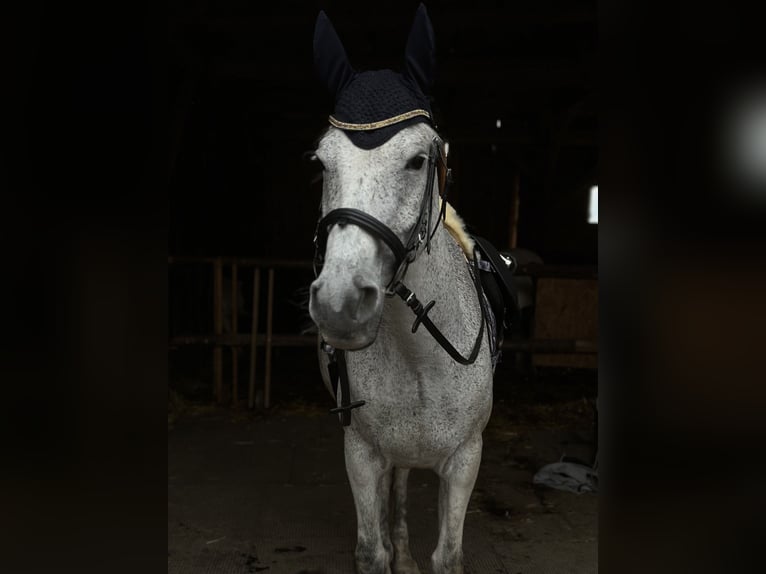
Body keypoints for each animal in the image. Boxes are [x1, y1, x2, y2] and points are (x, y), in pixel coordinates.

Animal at [308, 5, 496, 574]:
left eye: (417, 160)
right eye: (321, 163)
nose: (341, 305)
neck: (417, 355)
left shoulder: (465, 459)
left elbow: (448, 555)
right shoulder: (361, 452)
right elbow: (371, 550)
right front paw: (390, 552)